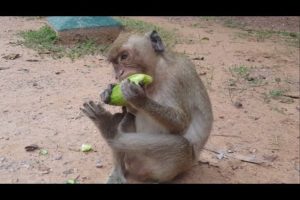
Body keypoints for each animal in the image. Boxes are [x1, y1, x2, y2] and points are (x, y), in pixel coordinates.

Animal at [81, 30, 213, 183]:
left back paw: (109, 129)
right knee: (126, 117)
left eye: (124, 57)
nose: (118, 74)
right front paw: (108, 91)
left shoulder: (178, 76)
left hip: (170, 168)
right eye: (114, 63)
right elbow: (132, 110)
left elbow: (181, 123)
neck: (156, 72)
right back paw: (118, 167)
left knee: (181, 147)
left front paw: (139, 98)